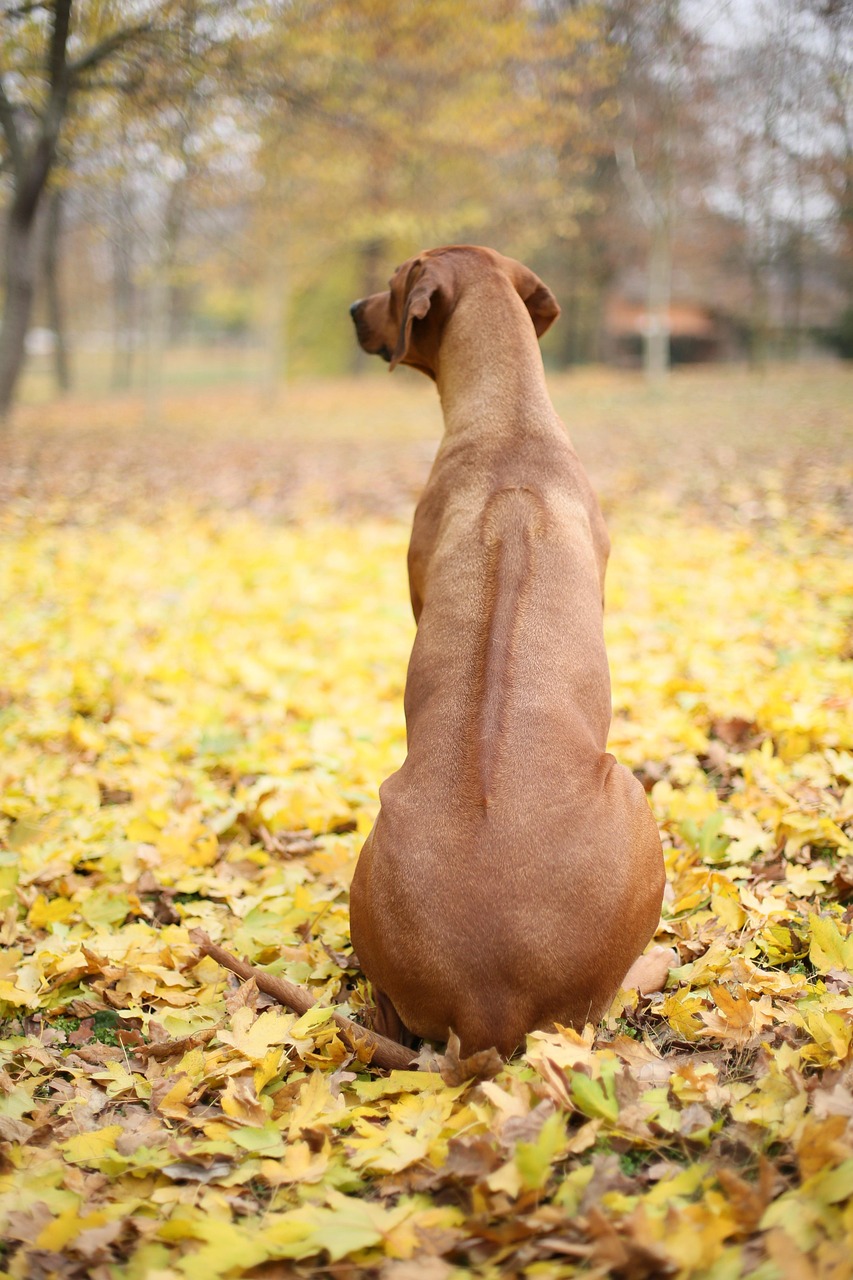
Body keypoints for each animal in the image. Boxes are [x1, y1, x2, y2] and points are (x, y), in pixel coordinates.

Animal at [348, 244, 666, 1054]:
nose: (351, 310)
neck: (509, 423)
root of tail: (487, 1000)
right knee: (608, 999)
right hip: (633, 795)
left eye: (389, 283)